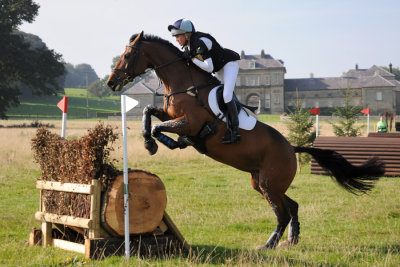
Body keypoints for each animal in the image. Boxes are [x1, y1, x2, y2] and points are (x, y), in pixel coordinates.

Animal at [107, 31, 384, 251]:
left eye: (128, 55)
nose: (111, 82)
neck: (184, 84)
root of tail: (291, 148)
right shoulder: (171, 114)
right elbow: (148, 112)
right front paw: (153, 143)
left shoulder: (191, 122)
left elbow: (158, 126)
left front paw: (160, 143)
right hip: (262, 183)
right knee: (292, 206)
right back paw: (291, 240)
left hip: (270, 183)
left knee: (282, 214)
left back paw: (269, 244)